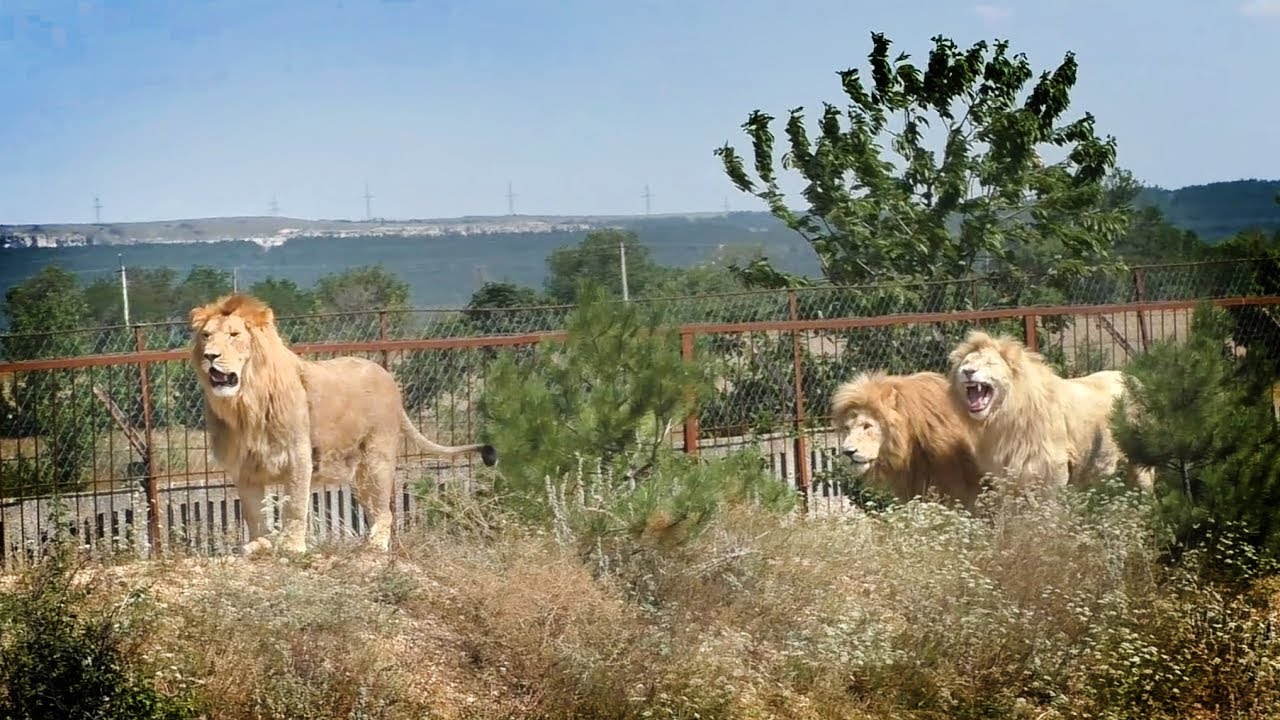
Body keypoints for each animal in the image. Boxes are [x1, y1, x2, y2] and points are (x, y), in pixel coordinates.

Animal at [189, 293, 497, 555]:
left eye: (234, 335)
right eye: (206, 336)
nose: (210, 356)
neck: (244, 403)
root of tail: (387, 375)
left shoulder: (298, 457)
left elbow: (295, 506)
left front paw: (291, 546)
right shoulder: (244, 466)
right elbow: (254, 512)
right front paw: (259, 545)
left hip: (377, 459)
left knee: (385, 511)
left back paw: (375, 546)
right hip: (359, 474)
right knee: (374, 509)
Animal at [947, 330, 1152, 492]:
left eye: (989, 364)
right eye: (966, 363)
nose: (968, 371)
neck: (1003, 417)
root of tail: (1134, 379)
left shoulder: (1055, 466)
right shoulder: (1005, 472)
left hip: (1141, 462)